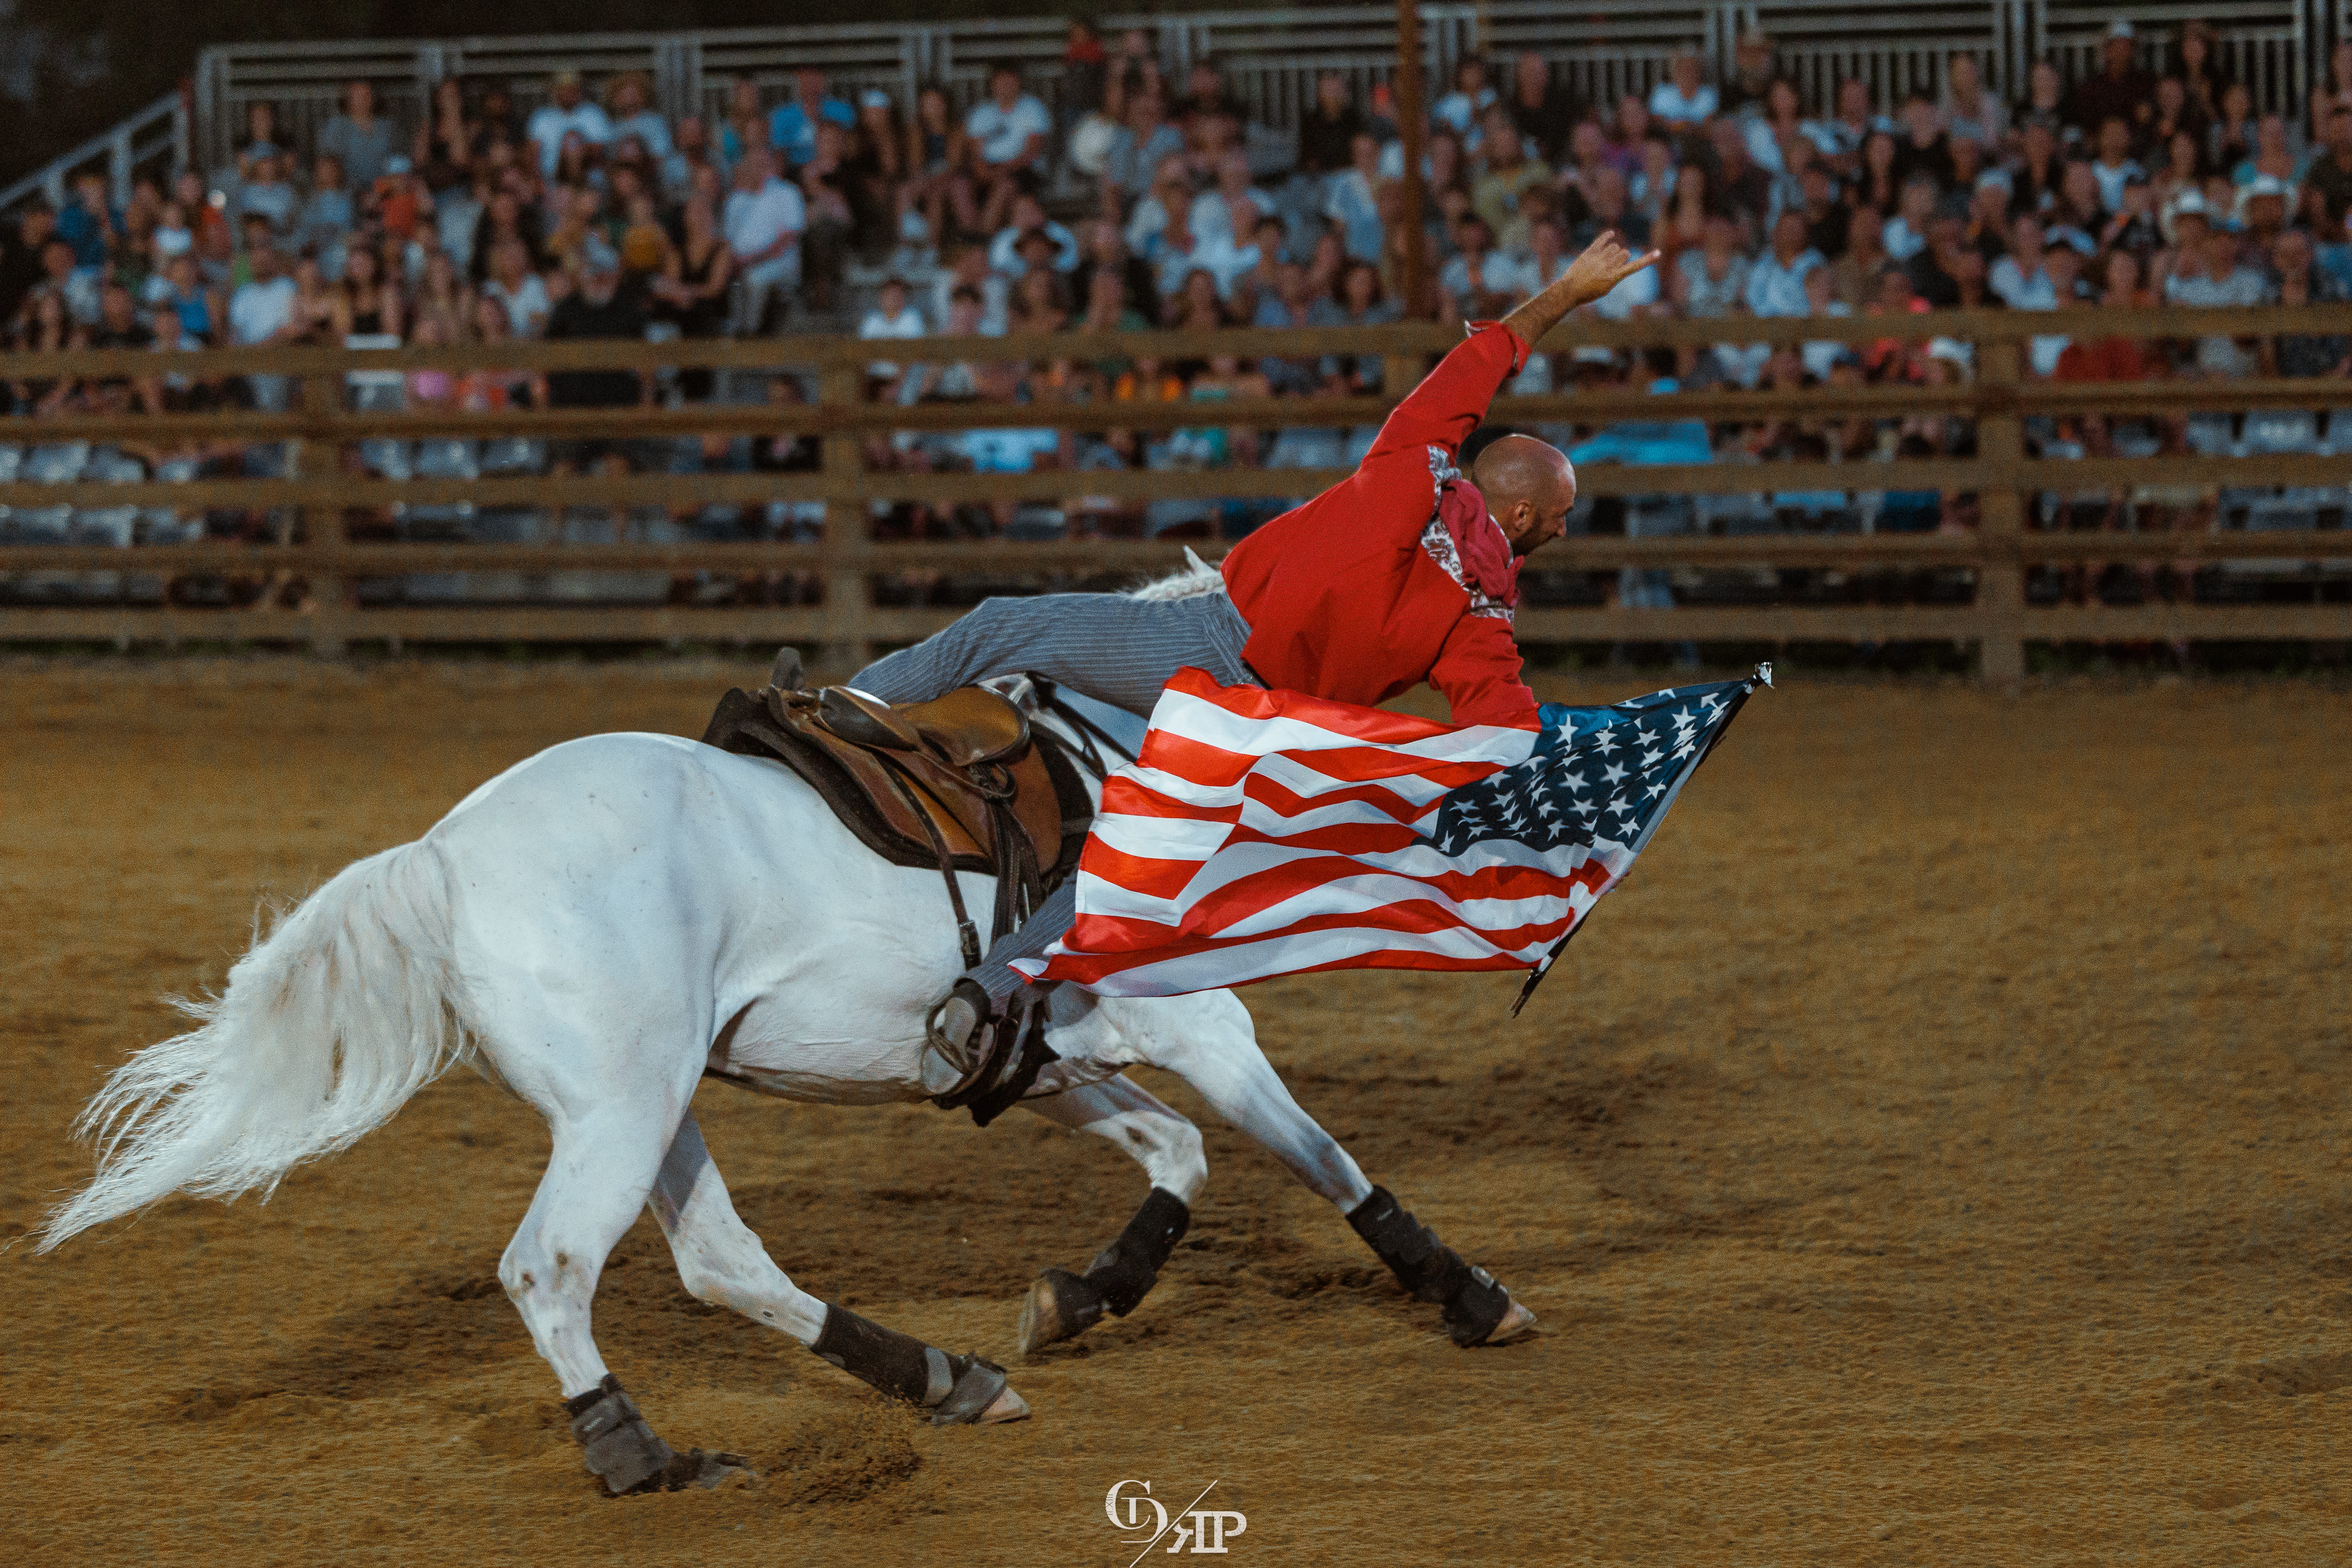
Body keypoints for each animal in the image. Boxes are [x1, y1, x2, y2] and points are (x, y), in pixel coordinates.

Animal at [50, 573, 1543, 1495]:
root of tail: (444, 857)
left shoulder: (1043, 1060)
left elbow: (1179, 1160)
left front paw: (1078, 1296)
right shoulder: (1201, 1027)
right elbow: (1319, 1159)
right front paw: (1471, 1295)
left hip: (651, 1106)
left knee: (720, 1261)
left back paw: (944, 1378)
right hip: (622, 1110)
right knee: (552, 1268)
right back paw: (642, 1455)